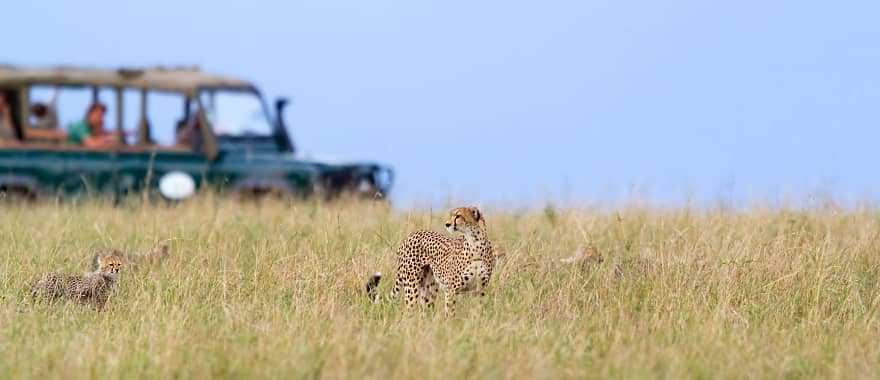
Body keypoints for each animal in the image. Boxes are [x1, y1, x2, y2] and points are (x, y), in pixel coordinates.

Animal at [364, 206, 496, 316]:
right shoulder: (451, 289)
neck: (475, 242)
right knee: (409, 310)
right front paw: (449, 326)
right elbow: (450, 312)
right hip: (412, 286)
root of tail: (411, 235)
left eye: (458, 216)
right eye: (451, 215)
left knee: (425, 310)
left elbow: (478, 310)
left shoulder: (480, 288)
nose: (447, 224)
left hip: (429, 288)